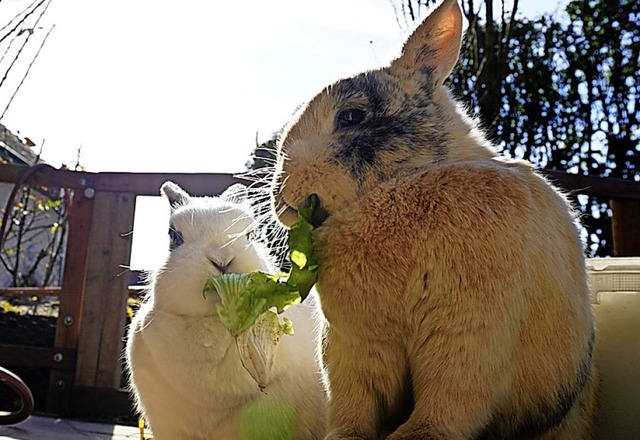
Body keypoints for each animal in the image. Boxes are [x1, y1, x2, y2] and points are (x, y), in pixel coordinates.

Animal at [268, 0, 596, 440]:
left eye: (351, 117)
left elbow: (449, 396)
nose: (280, 191)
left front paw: (416, 435)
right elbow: (355, 406)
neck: (400, 187)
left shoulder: (467, 332)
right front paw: (343, 437)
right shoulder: (357, 348)